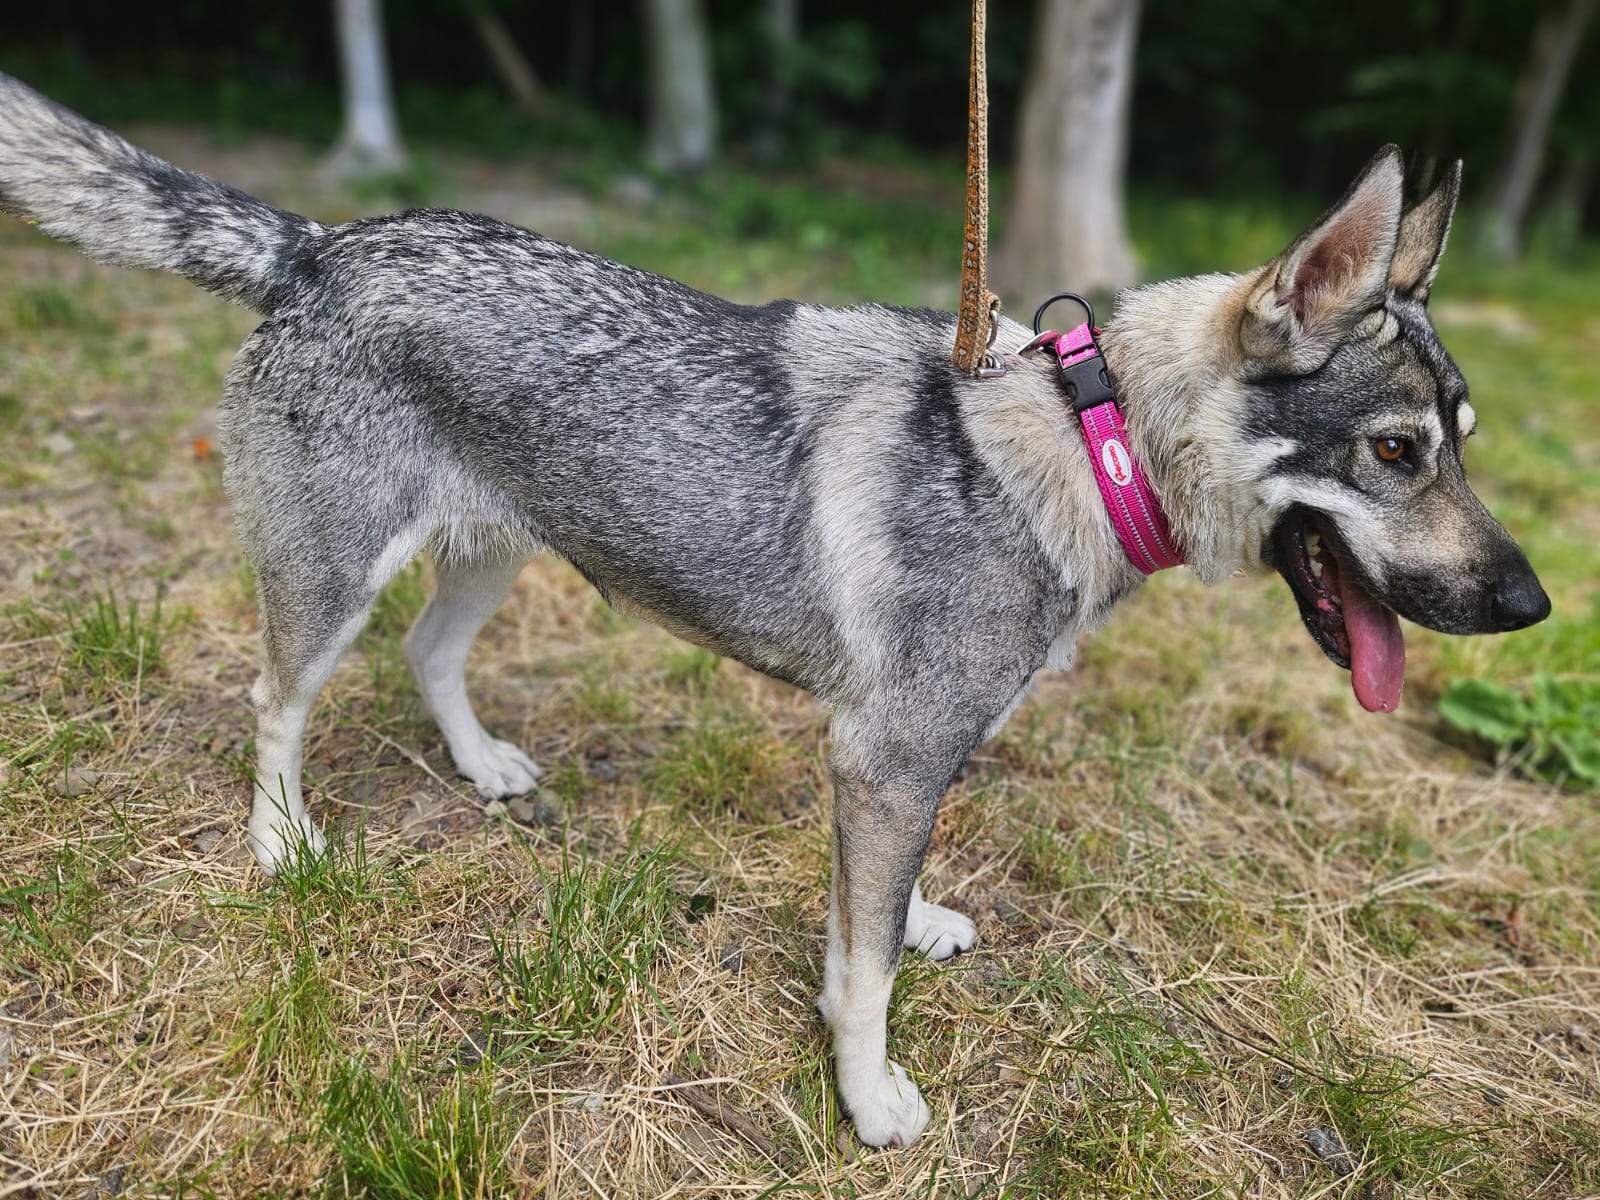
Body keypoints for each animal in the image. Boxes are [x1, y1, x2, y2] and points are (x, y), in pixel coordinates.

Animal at [0, 73, 1549, 1147]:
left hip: (492, 555)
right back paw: (284, 846)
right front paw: (869, 1099)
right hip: (334, 582)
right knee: (276, 701)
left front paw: (914, 926)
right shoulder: (886, 760)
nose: (1532, 603)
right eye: (1398, 451)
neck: (1079, 444)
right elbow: (854, 979)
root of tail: (320, 245)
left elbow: (882, 909)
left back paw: (483, 768)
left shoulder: (903, 767)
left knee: (430, 660)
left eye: (1463, 443)